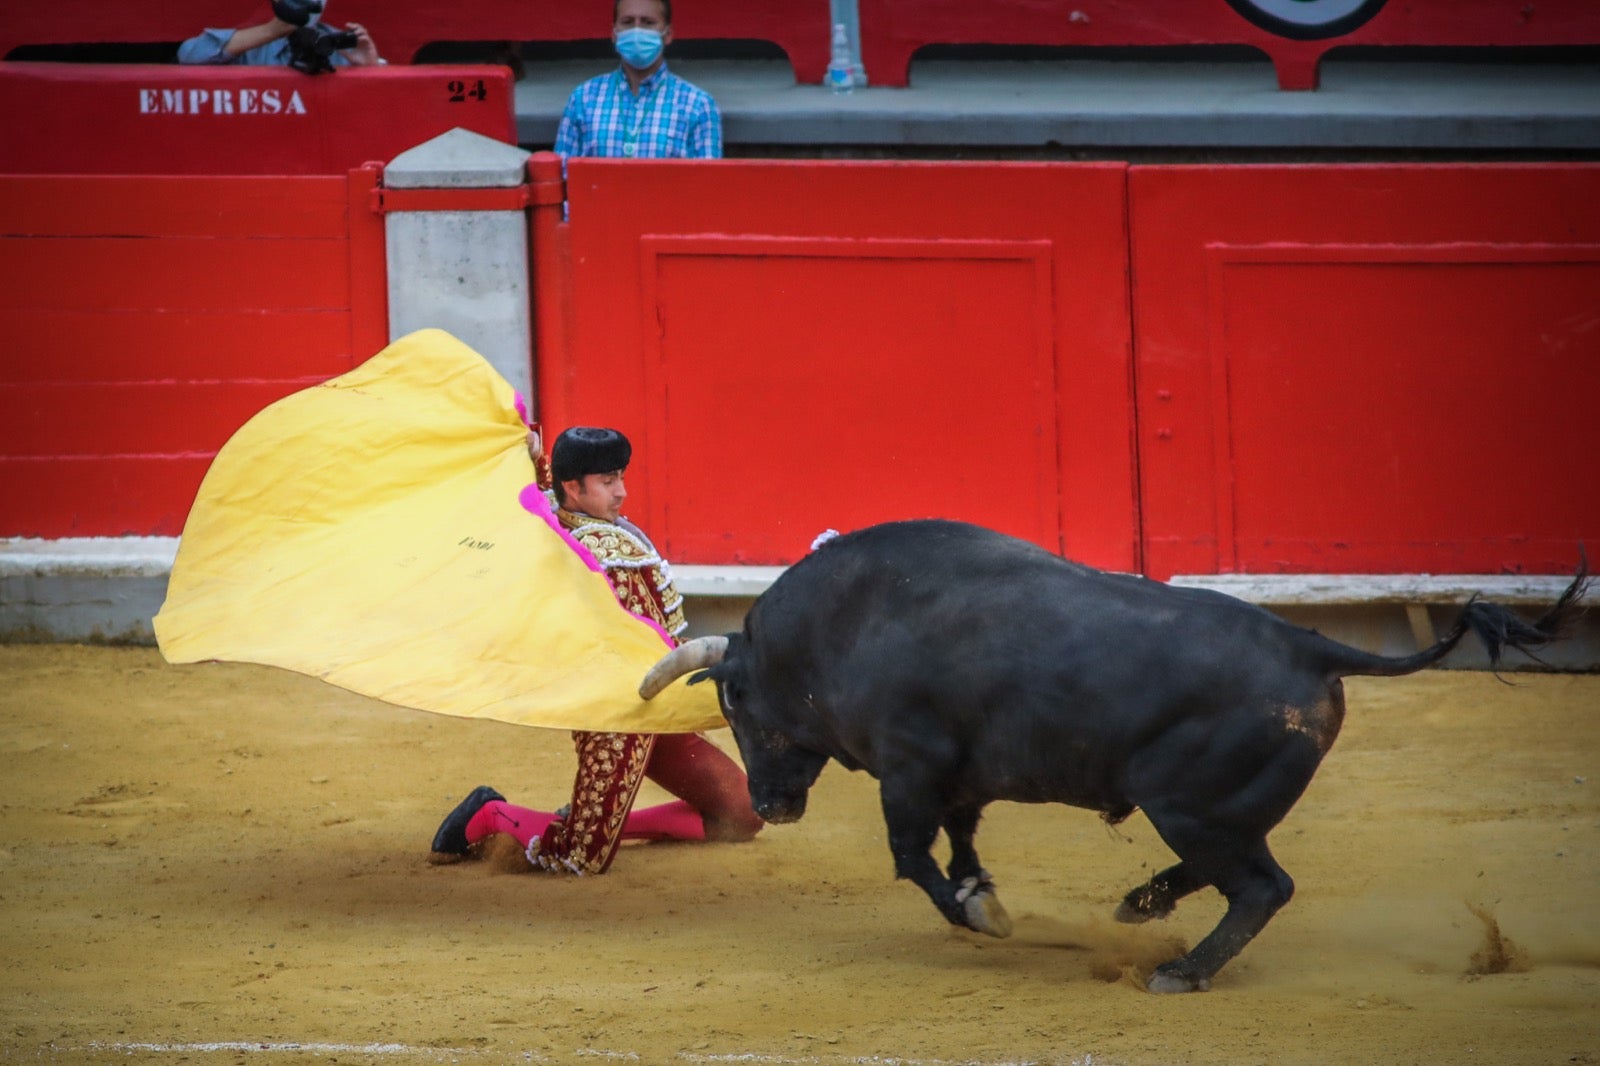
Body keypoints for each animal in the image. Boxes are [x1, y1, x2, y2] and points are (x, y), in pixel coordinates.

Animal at [640, 518, 1587, 992]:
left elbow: (914, 857)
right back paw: (1142, 904)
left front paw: (980, 915)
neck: (842, 622)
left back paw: (1180, 970)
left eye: (733, 704)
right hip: (1214, 810)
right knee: (1236, 874)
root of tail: (1312, 646)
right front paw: (989, 897)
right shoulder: (959, 777)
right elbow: (962, 840)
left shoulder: (908, 770)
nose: (770, 805)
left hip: (1192, 806)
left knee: (1262, 887)